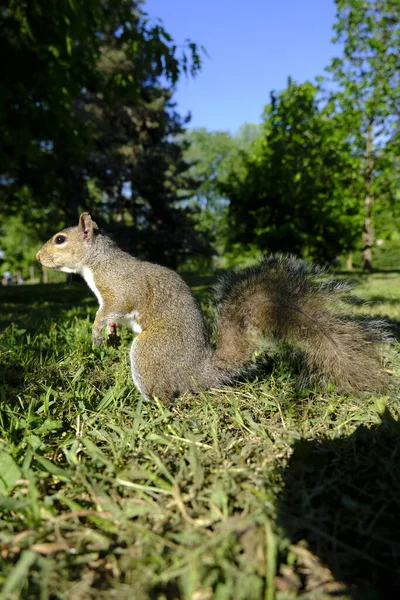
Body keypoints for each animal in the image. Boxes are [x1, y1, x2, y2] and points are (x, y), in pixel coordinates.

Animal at [36, 213, 390, 400]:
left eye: (60, 239)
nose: (38, 257)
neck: (96, 264)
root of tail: (200, 371)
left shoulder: (121, 289)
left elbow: (115, 306)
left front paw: (96, 331)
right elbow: (112, 318)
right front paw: (109, 334)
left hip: (151, 351)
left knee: (167, 395)